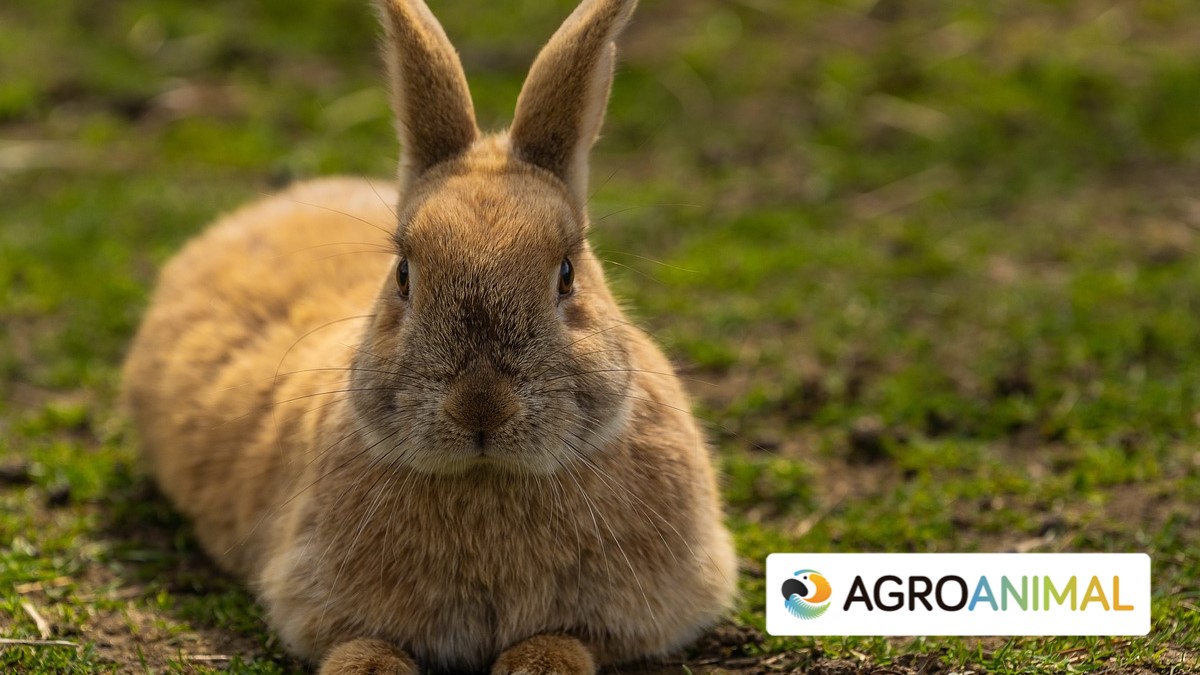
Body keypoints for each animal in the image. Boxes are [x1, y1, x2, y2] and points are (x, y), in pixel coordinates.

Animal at [121, 0, 739, 667]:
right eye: (402, 274)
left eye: (567, 275)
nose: (480, 407)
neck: (488, 479)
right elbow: (362, 647)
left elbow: (562, 641)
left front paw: (536, 665)